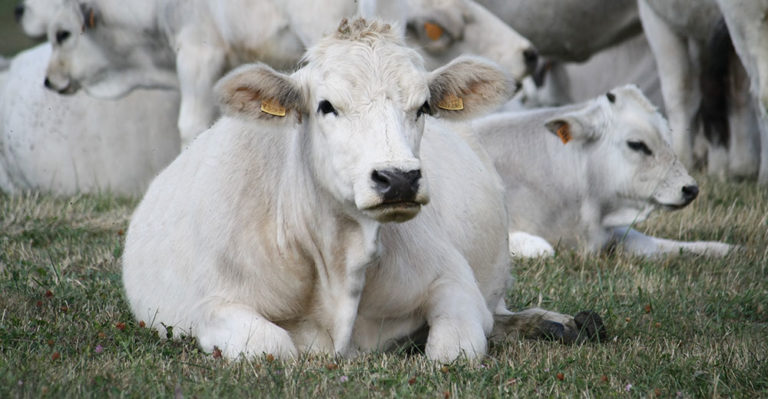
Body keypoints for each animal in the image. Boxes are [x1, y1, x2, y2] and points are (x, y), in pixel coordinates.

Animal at [121, 18, 600, 362]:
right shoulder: (214, 305)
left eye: (424, 106)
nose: (399, 178)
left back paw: (561, 324)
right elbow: (275, 349)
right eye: (326, 106)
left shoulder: (454, 282)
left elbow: (453, 351)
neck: (340, 262)